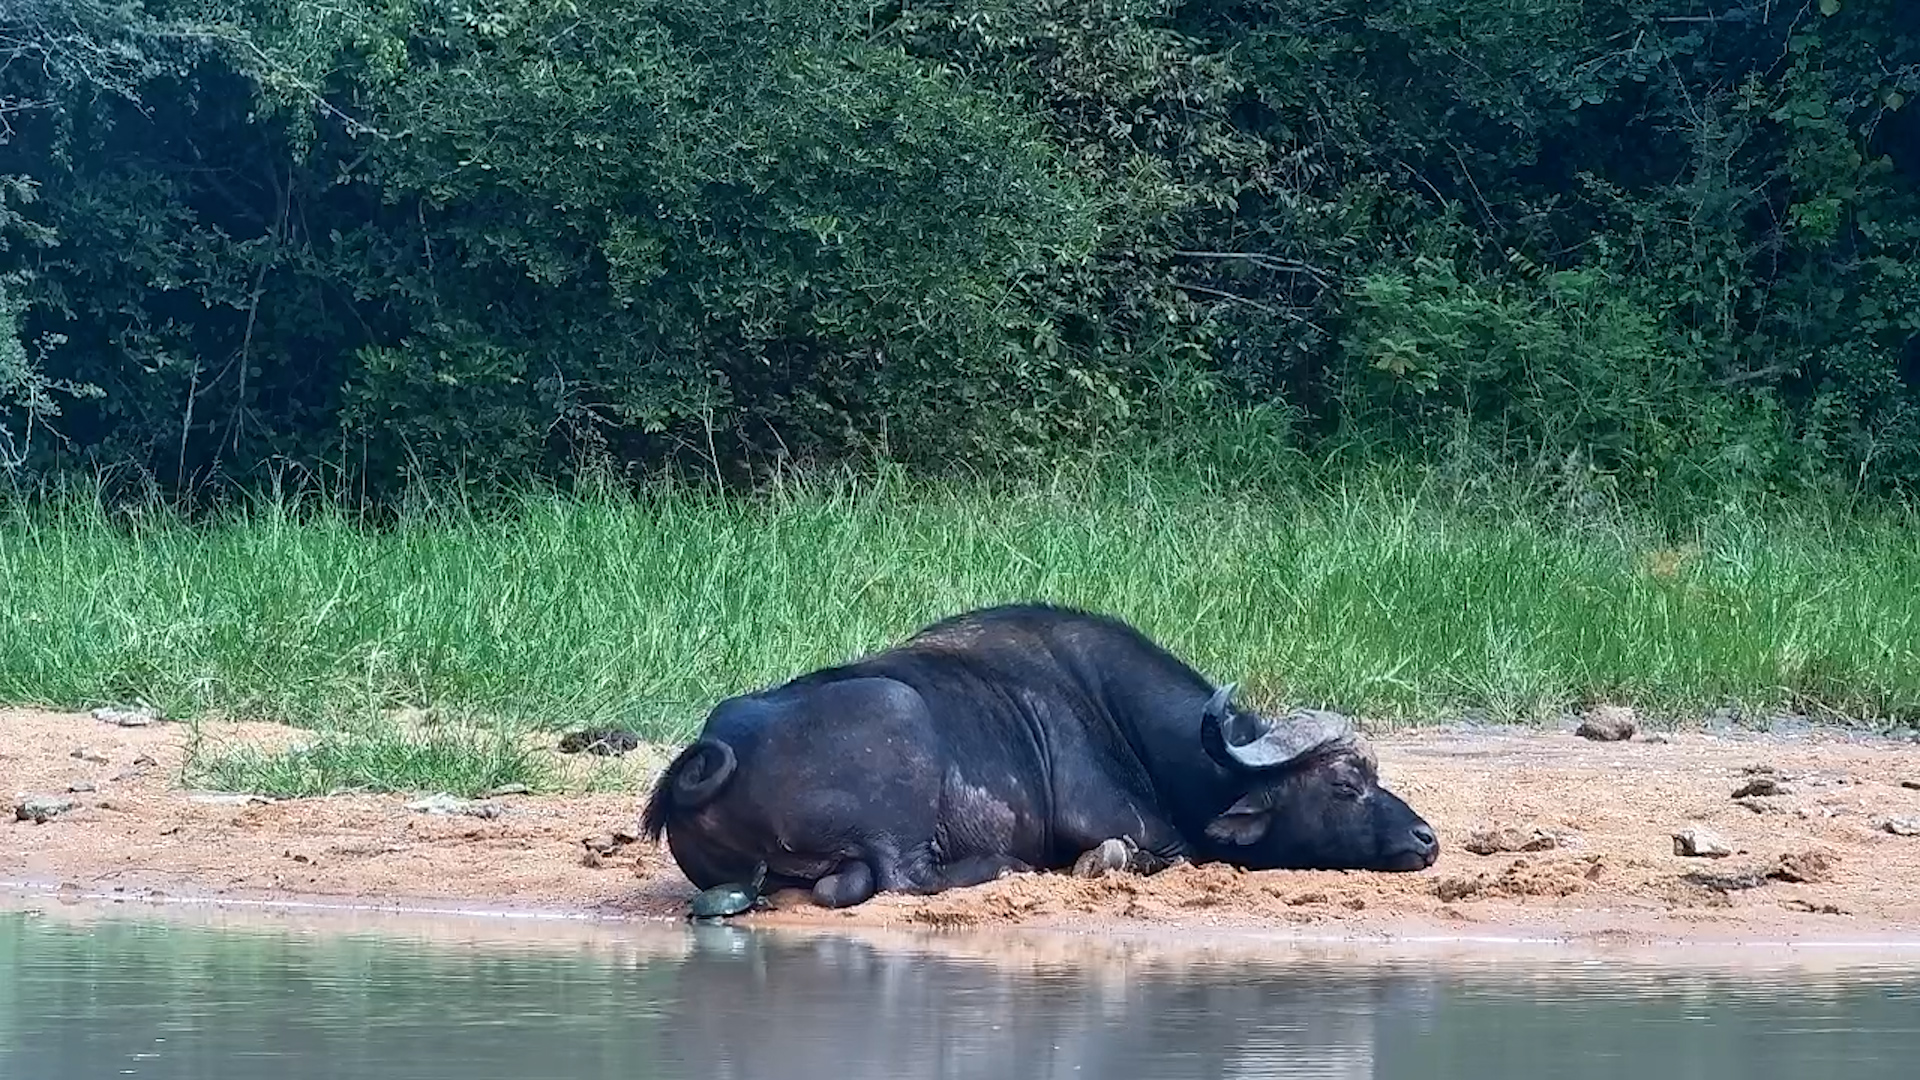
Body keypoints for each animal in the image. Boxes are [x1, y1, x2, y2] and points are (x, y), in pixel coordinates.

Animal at [641, 603, 1438, 908]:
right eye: (1346, 783)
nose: (1428, 838)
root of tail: (718, 746)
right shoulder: (1139, 830)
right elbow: (1147, 852)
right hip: (898, 736)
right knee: (901, 880)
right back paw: (1008, 868)